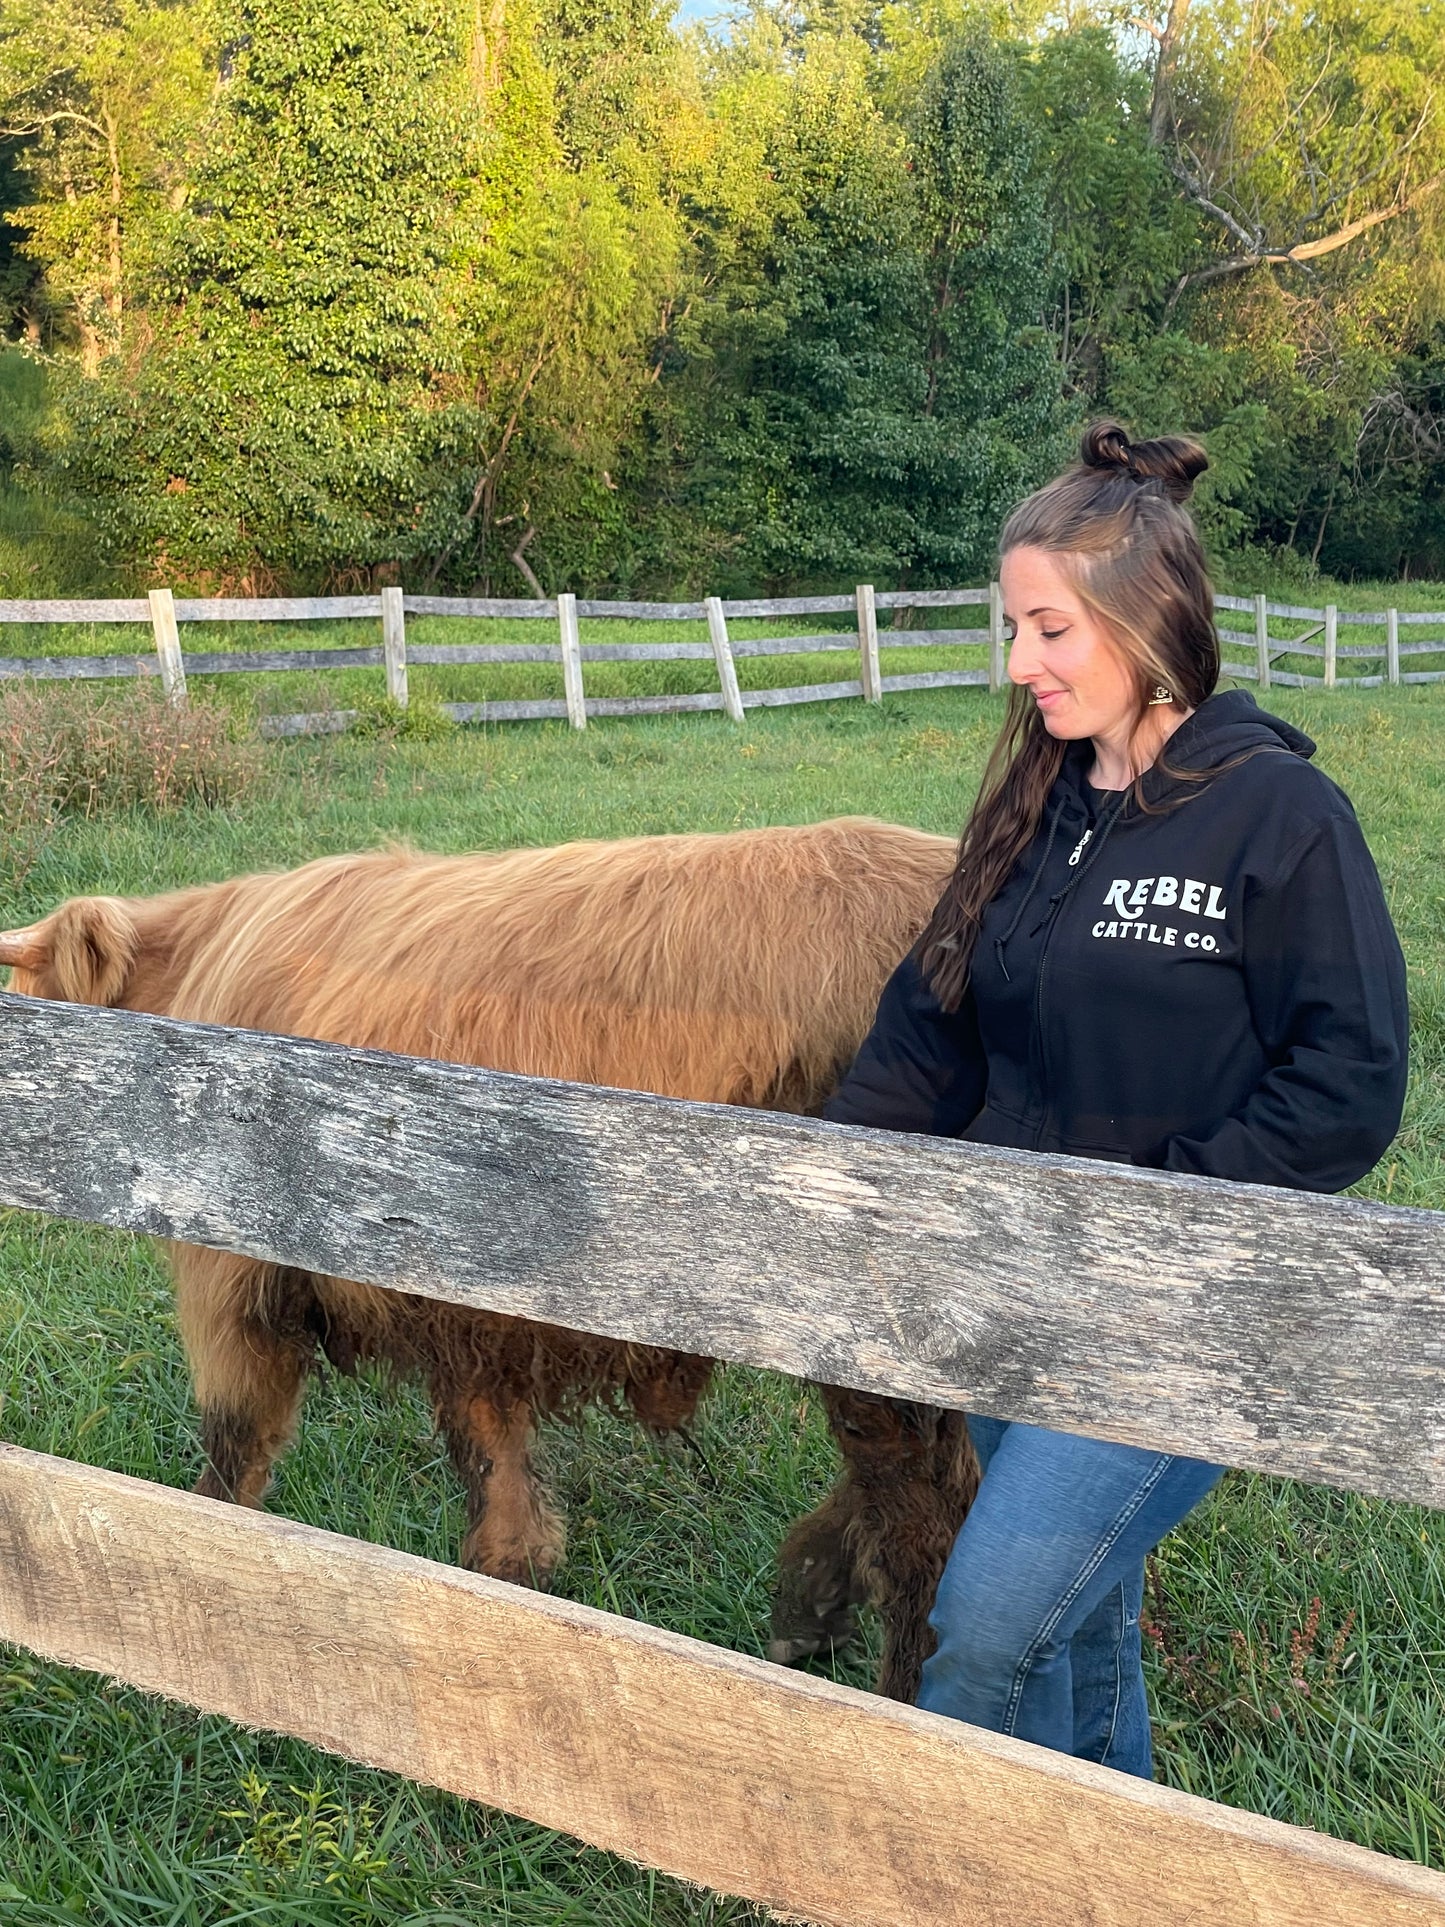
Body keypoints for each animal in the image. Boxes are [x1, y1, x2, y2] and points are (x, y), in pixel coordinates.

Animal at [0, 816, 976, 1697]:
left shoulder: (235, 1276)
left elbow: (231, 1449)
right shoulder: (464, 1312)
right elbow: (493, 1467)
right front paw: (507, 1596)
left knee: (922, 1515)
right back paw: (813, 1601)